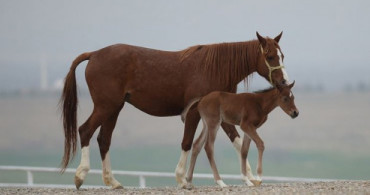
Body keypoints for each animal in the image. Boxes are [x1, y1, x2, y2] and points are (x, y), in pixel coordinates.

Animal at [60, 32, 290, 189]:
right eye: (270, 56)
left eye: (282, 55)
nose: (284, 82)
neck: (215, 68)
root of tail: (94, 55)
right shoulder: (195, 113)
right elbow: (187, 142)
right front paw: (181, 178)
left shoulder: (221, 115)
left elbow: (238, 142)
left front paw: (250, 178)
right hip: (105, 106)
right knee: (85, 131)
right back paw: (80, 175)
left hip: (114, 109)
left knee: (103, 140)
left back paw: (113, 181)